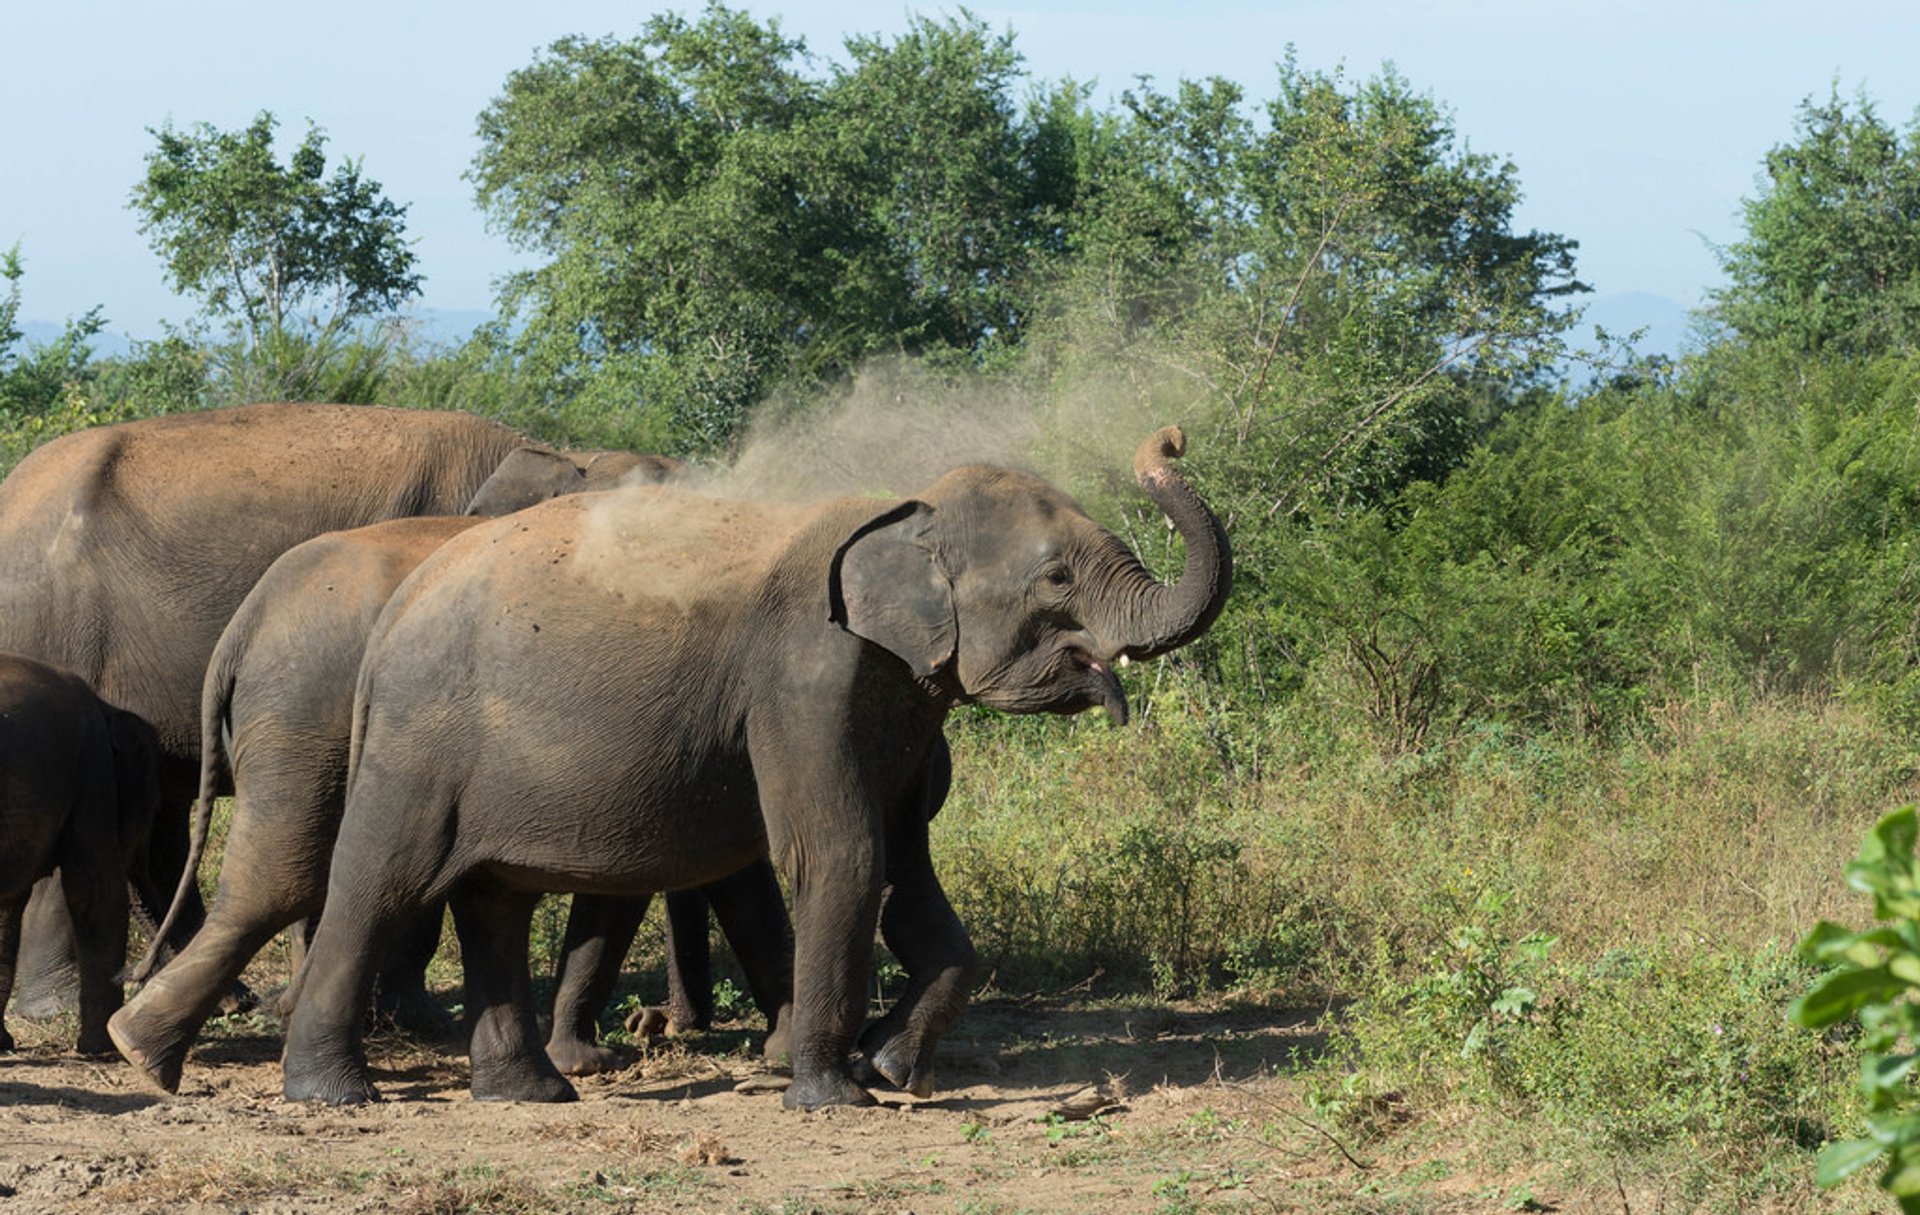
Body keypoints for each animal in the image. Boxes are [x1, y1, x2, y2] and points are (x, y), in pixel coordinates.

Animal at [278, 426, 1221, 1105]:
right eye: (1056, 578)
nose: (1172, 437)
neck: (900, 514)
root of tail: (392, 621)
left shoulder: (903, 702)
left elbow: (913, 881)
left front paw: (888, 1065)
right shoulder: (805, 675)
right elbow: (842, 856)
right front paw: (835, 1096)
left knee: (495, 898)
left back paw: (530, 1094)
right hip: (418, 742)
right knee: (381, 880)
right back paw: (334, 1093)